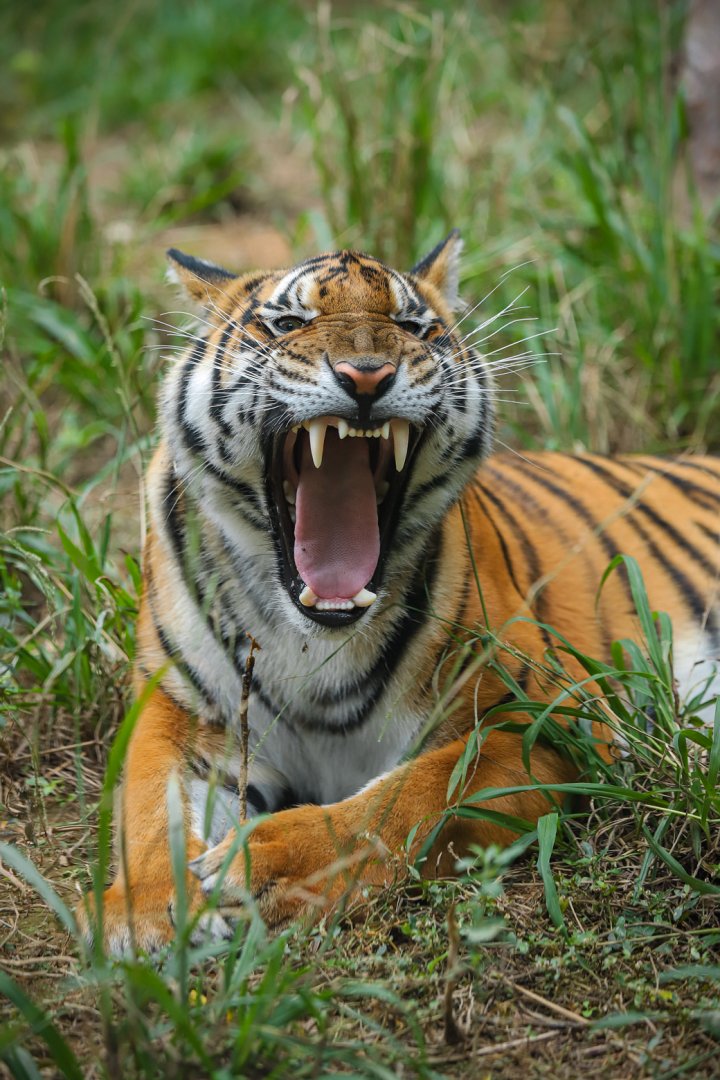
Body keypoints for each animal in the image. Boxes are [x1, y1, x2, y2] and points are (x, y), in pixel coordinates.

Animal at [77, 232, 720, 955]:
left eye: (415, 328)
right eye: (287, 323)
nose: (366, 376)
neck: (311, 640)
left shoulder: (555, 719)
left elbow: (410, 795)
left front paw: (256, 872)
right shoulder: (180, 711)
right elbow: (146, 801)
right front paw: (147, 912)